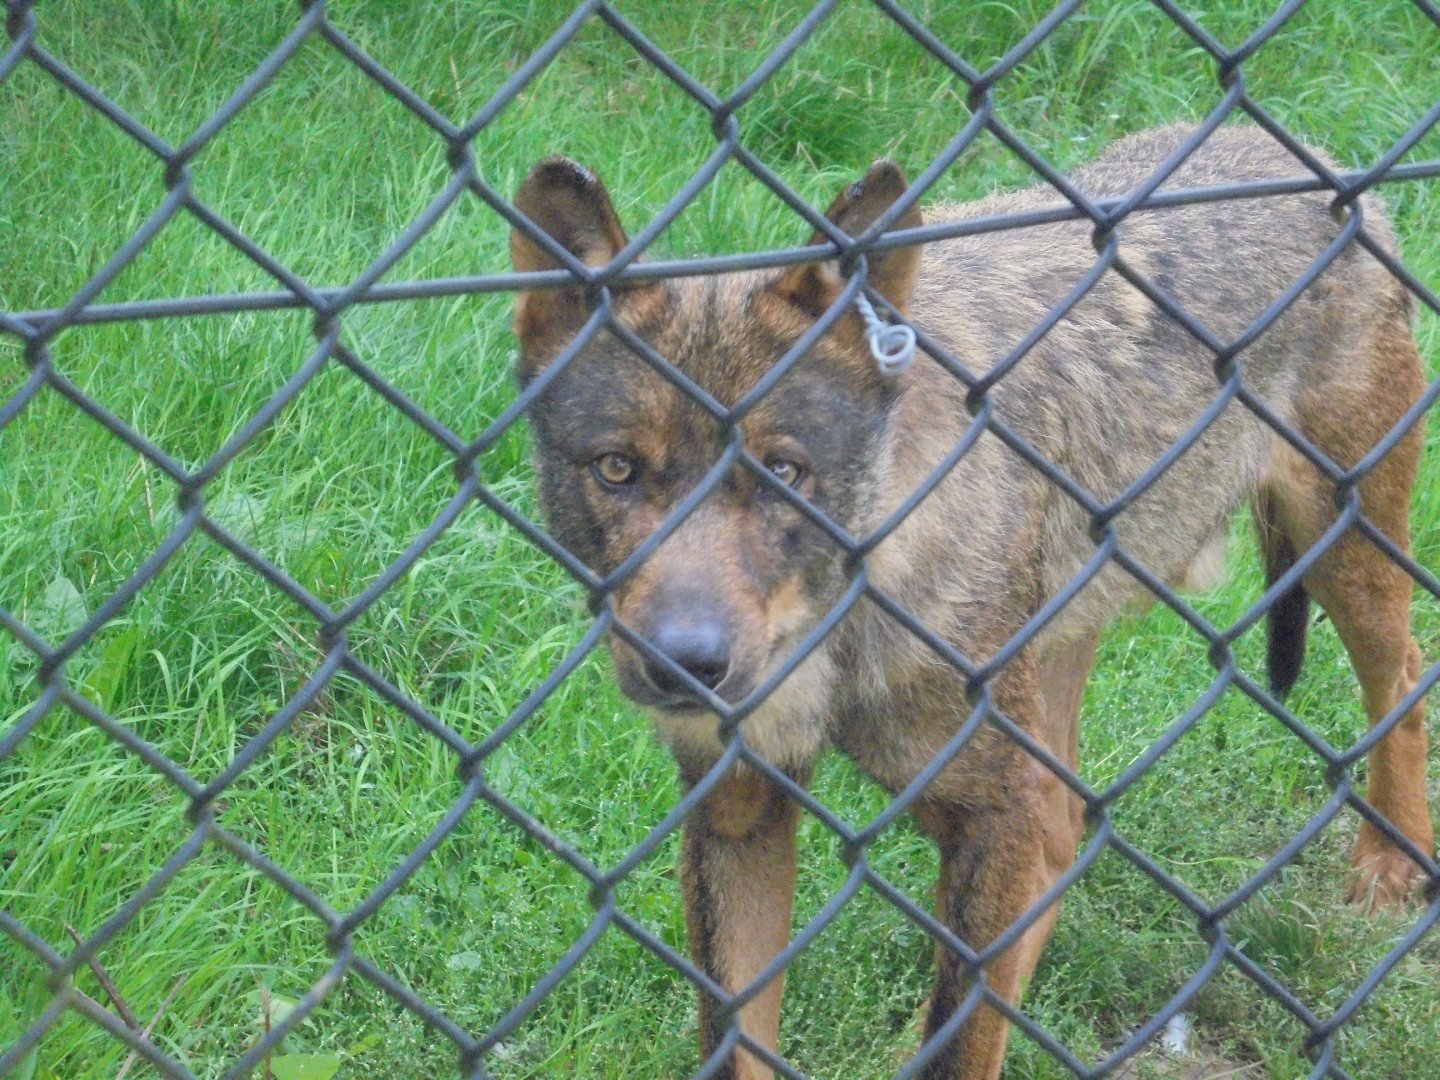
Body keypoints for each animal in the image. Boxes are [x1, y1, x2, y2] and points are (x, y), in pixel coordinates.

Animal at [508, 125, 1433, 1079]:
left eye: (785, 472)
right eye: (617, 468)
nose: (686, 663)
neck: (844, 627)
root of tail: (1323, 165)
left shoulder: (992, 814)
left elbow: (960, 1038)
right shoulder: (737, 812)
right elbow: (739, 1041)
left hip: (1344, 547)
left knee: (1404, 674)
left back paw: (1389, 871)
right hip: (1062, 647)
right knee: (1065, 830)